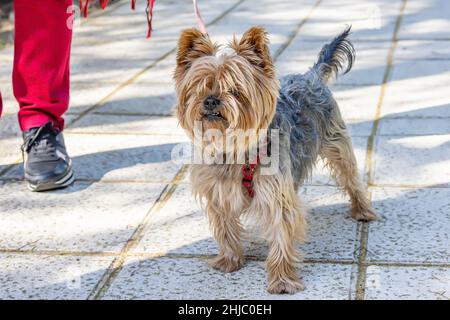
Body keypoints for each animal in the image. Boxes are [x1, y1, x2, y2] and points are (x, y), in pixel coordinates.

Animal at [173, 26, 376, 294]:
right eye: (200, 87)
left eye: (235, 90)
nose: (211, 100)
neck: (236, 149)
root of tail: (310, 76)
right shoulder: (219, 193)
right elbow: (226, 229)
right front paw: (229, 260)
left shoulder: (276, 195)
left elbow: (281, 234)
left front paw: (281, 280)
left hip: (336, 142)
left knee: (350, 176)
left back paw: (363, 210)